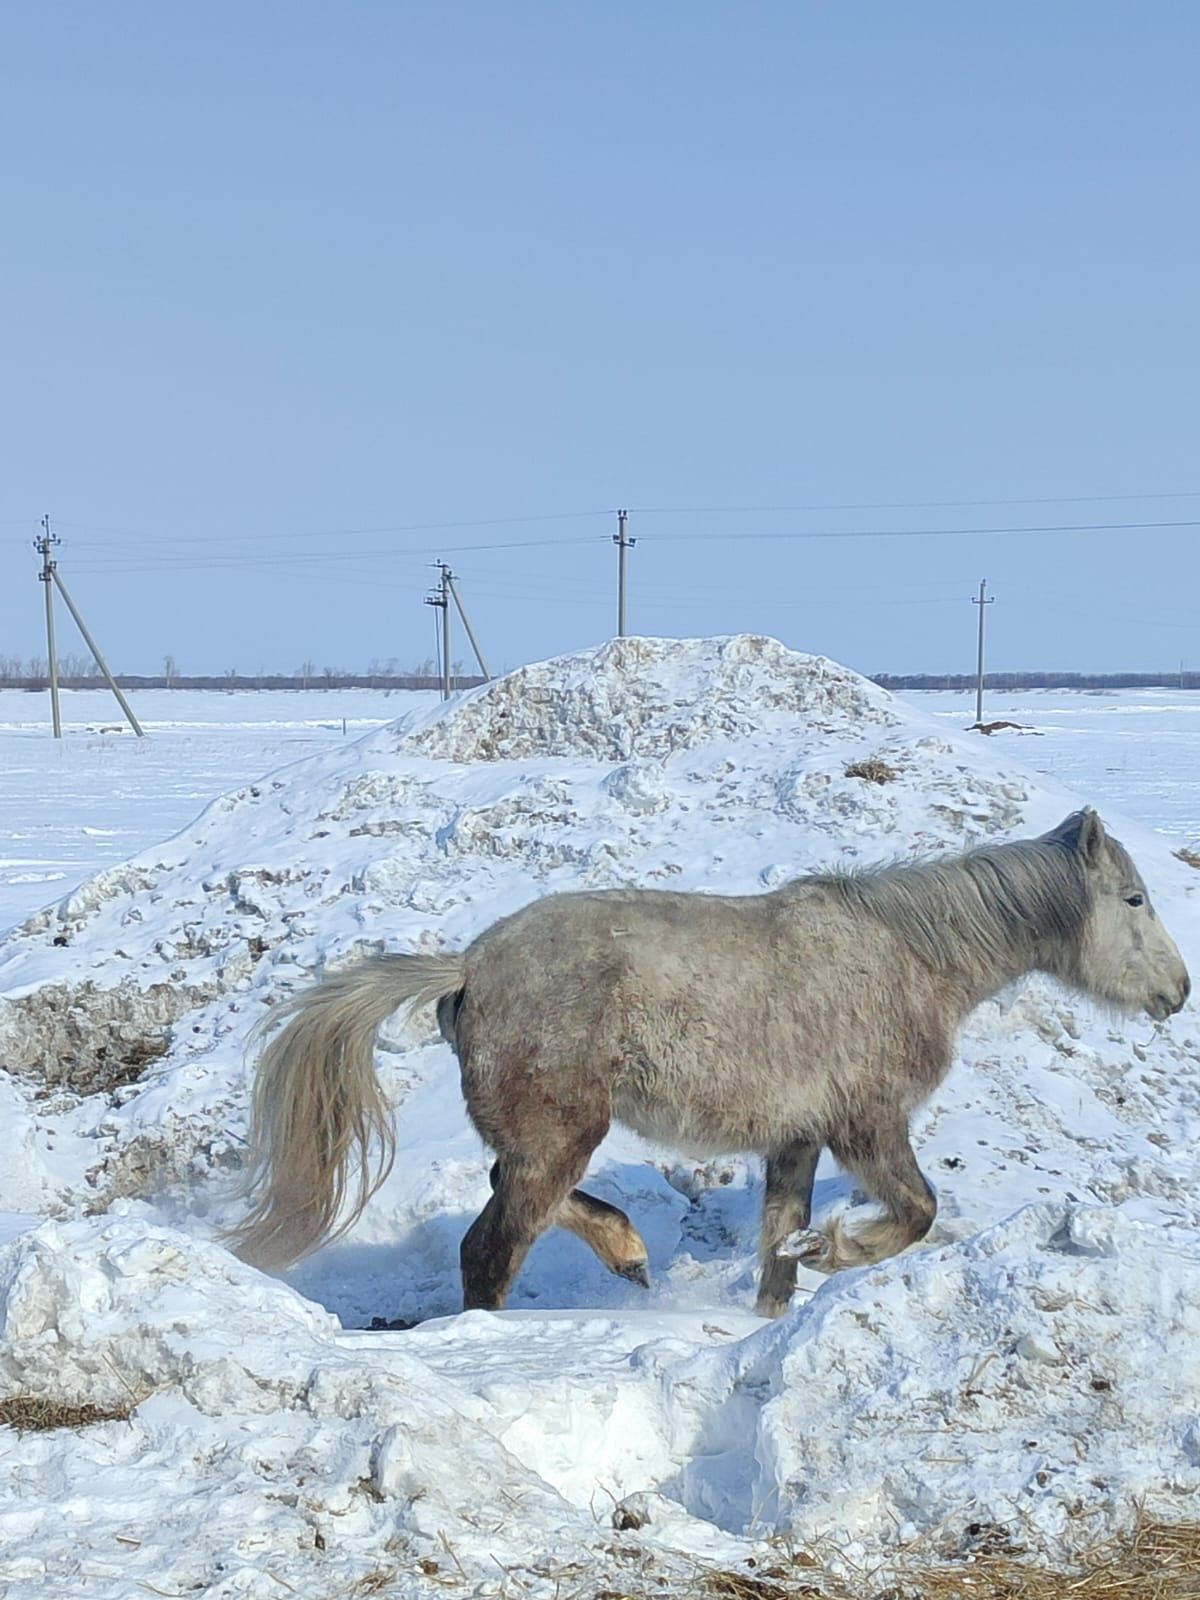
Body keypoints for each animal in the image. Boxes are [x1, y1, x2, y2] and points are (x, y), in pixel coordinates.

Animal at [227, 806, 1196, 1318]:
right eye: (1133, 899)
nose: (1178, 992)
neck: (909, 958)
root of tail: (468, 964)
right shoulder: (868, 1126)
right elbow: (917, 1212)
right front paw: (841, 1249)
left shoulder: (798, 1141)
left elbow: (776, 1249)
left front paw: (787, 1284)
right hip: (562, 1137)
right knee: (493, 1246)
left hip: (545, 1138)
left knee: (517, 1193)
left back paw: (626, 1252)